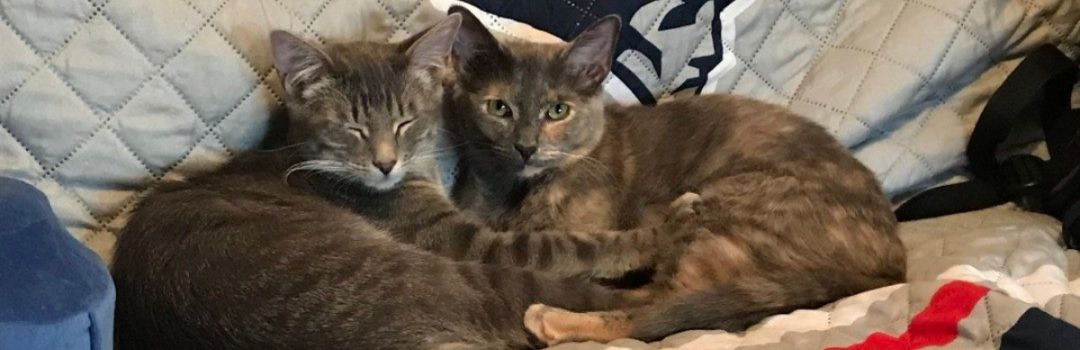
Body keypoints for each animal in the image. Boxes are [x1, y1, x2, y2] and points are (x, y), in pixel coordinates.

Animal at [111, 14, 699, 350]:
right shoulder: (471, 240)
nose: (386, 164)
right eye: (352, 128)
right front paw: (655, 230)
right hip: (450, 278)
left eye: (405, 121)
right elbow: (568, 244)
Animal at [442, 6, 907, 345]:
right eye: (499, 107)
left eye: (558, 110)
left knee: (655, 309)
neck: (513, 194)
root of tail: (893, 264)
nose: (526, 145)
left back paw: (550, 319)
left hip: (729, 212)